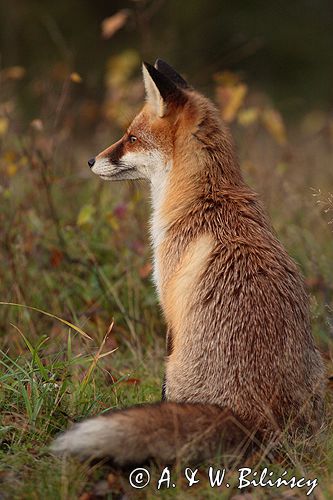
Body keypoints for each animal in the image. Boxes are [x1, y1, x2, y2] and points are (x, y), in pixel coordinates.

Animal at [52, 60, 324, 466]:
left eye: (131, 138)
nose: (89, 160)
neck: (207, 196)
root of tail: (257, 417)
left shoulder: (170, 306)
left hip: (180, 364)